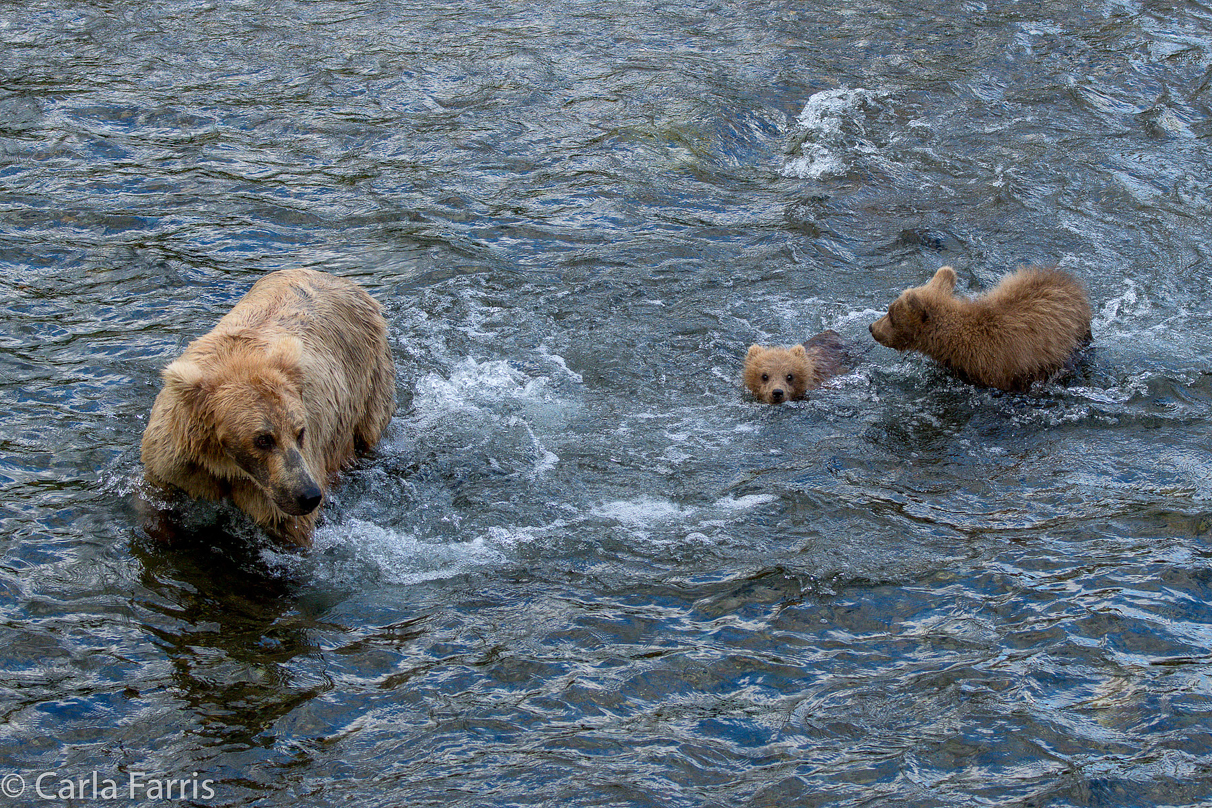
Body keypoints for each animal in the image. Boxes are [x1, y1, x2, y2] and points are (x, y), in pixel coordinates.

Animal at [141, 268, 395, 547]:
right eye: (263, 439)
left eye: (300, 432)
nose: (309, 495)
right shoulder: (176, 458)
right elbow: (158, 501)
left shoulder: (274, 491)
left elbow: (290, 529)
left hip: (369, 383)